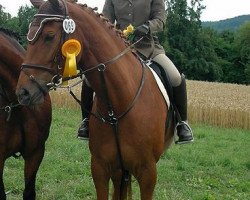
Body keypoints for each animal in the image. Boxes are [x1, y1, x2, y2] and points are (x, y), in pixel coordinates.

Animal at [15, 0, 174, 199]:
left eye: (49, 36)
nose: (23, 93)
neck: (119, 106)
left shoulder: (148, 174)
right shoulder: (100, 168)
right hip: (119, 171)